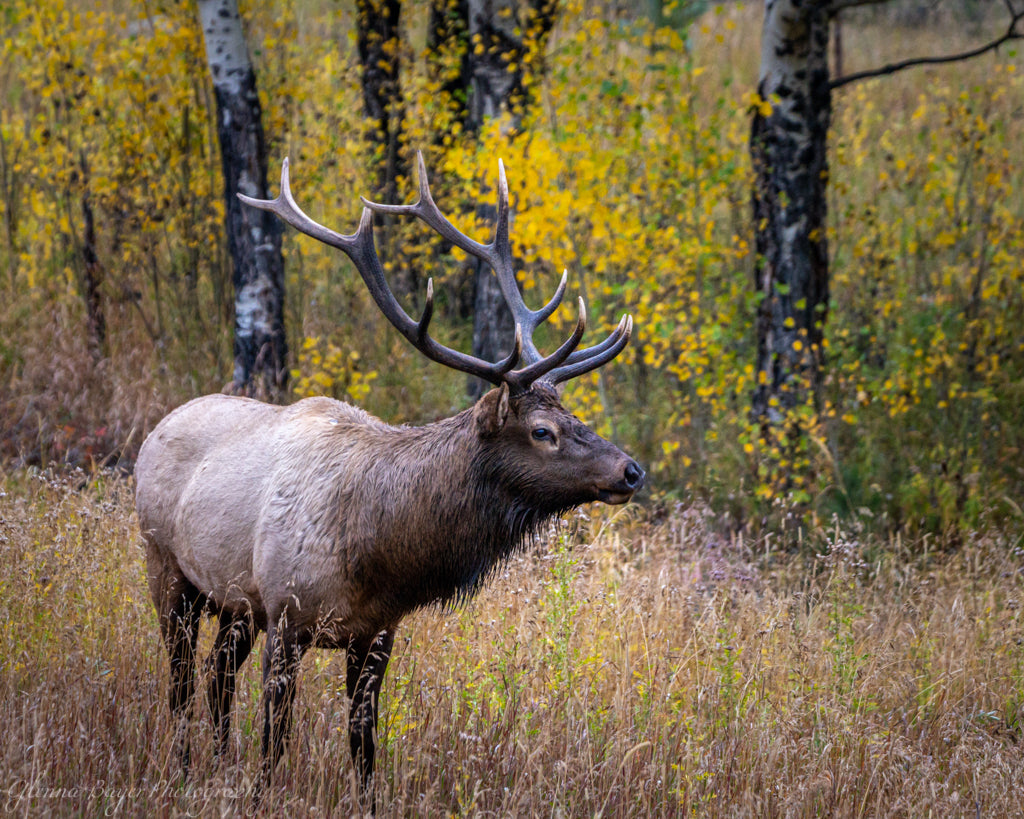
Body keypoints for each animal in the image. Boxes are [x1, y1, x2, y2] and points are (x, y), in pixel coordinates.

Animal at [134, 153, 644, 802]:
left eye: (574, 416)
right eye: (542, 432)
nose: (630, 470)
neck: (378, 557)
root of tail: (158, 426)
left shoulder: (375, 633)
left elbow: (364, 745)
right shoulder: (286, 614)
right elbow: (276, 741)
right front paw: (260, 795)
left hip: (233, 601)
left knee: (215, 676)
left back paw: (219, 765)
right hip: (167, 567)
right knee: (179, 681)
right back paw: (184, 771)